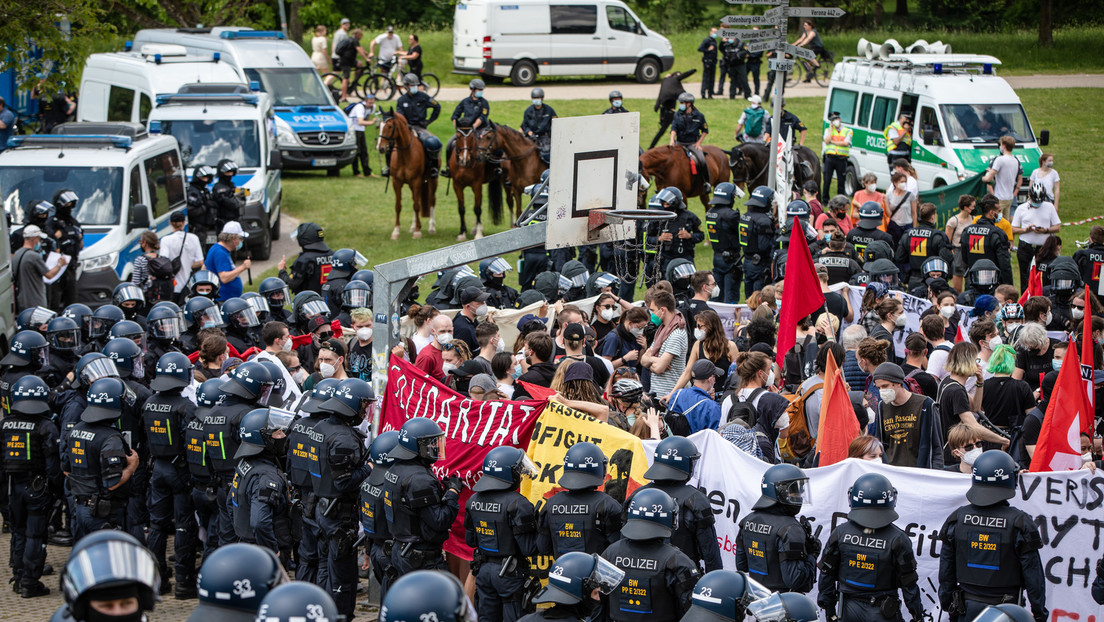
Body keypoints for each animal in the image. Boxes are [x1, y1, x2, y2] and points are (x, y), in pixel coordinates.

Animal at [375, 108, 434, 238]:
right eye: (379, 125)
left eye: (390, 126)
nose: (380, 148)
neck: (405, 154)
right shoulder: (396, 182)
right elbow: (398, 206)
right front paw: (396, 231)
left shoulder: (416, 181)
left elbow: (416, 206)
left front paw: (417, 232)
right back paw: (413, 226)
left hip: (431, 181)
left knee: (432, 201)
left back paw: (432, 227)